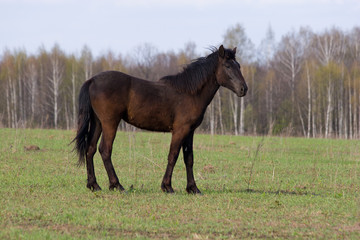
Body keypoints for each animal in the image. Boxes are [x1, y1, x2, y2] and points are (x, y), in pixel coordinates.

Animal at [73, 45, 248, 194]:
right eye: (227, 66)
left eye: (238, 65)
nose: (243, 89)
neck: (190, 93)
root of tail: (92, 80)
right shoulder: (180, 130)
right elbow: (173, 156)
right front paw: (167, 186)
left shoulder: (190, 131)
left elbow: (189, 158)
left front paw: (193, 188)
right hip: (110, 123)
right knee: (105, 150)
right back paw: (117, 185)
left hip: (98, 123)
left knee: (90, 149)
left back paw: (94, 185)